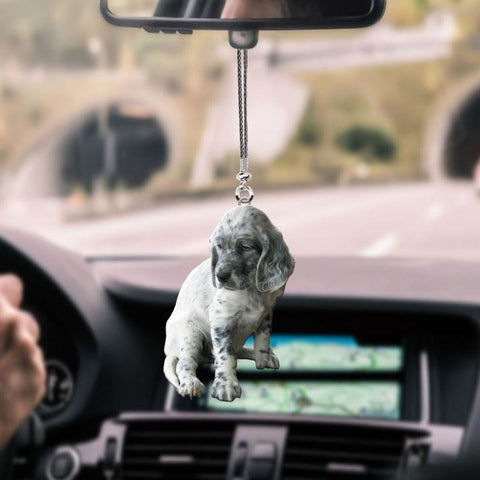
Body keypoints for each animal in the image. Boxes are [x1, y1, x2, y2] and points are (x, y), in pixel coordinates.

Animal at [163, 203, 294, 402]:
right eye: (219, 246)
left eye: (245, 247)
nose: (220, 276)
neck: (251, 289)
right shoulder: (221, 319)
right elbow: (225, 355)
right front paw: (226, 385)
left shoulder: (267, 313)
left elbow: (263, 338)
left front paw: (263, 358)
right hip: (190, 333)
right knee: (185, 363)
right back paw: (191, 383)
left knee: (236, 350)